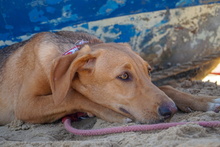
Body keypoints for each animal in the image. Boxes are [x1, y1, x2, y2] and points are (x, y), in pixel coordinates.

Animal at [0, 31, 220, 125]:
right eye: (124, 76)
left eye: (149, 71)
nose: (171, 111)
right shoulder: (26, 105)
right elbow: (73, 96)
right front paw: (112, 114)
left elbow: (166, 88)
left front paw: (205, 100)